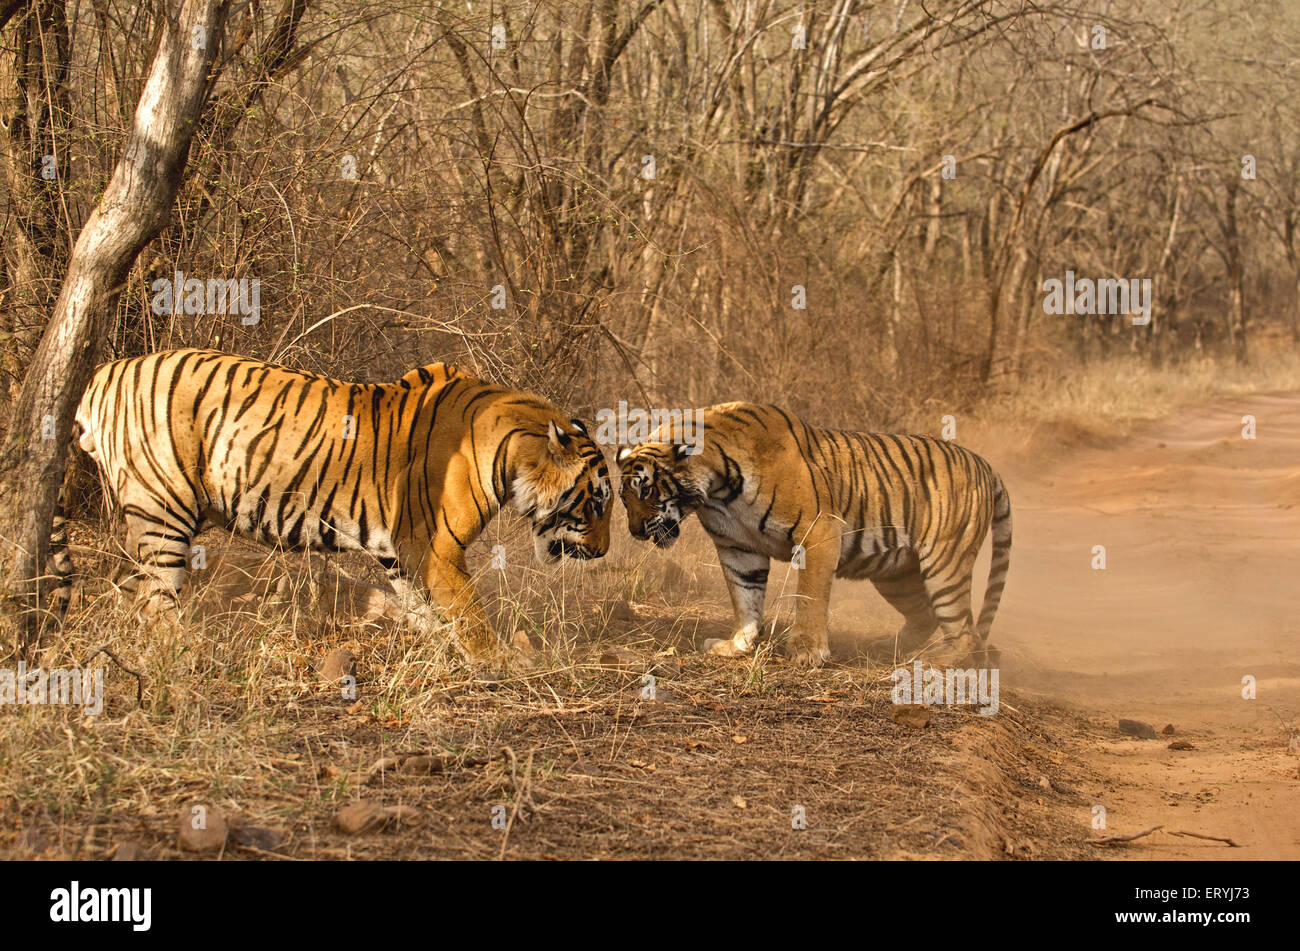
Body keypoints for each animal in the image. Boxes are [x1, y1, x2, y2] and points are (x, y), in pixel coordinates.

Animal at [61, 348, 608, 654]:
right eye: (597, 502)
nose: (603, 552)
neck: (512, 453)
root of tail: (104, 372)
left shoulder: (401, 553)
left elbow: (423, 610)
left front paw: (439, 649)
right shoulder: (438, 549)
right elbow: (469, 614)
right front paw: (497, 663)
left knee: (128, 585)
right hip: (162, 507)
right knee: (154, 598)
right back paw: (186, 653)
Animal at [613, 405, 1008, 665]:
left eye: (646, 490)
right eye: (624, 497)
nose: (634, 531)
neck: (717, 491)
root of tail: (985, 464)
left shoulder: (820, 530)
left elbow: (810, 595)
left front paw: (807, 650)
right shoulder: (738, 548)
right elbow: (745, 597)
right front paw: (738, 644)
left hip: (945, 563)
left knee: (966, 631)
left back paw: (932, 662)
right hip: (897, 575)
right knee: (926, 615)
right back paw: (887, 649)